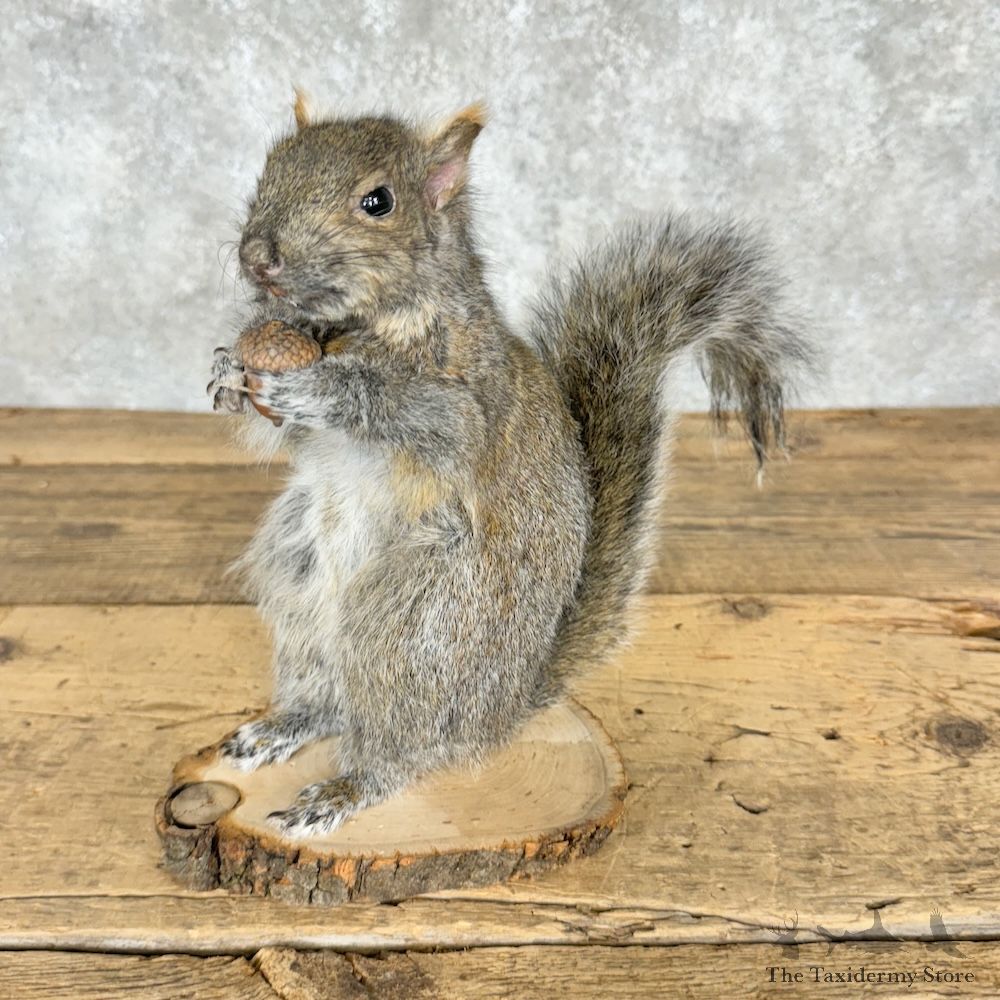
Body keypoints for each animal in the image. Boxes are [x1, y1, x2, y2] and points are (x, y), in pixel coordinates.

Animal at [206, 97, 813, 837]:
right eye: (270, 166)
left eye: (378, 201)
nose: (257, 257)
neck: (350, 326)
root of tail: (502, 710)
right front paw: (230, 370)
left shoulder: (468, 399)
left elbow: (417, 413)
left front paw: (319, 387)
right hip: (300, 583)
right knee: (331, 699)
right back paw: (283, 725)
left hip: (412, 623)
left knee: (400, 749)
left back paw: (343, 790)